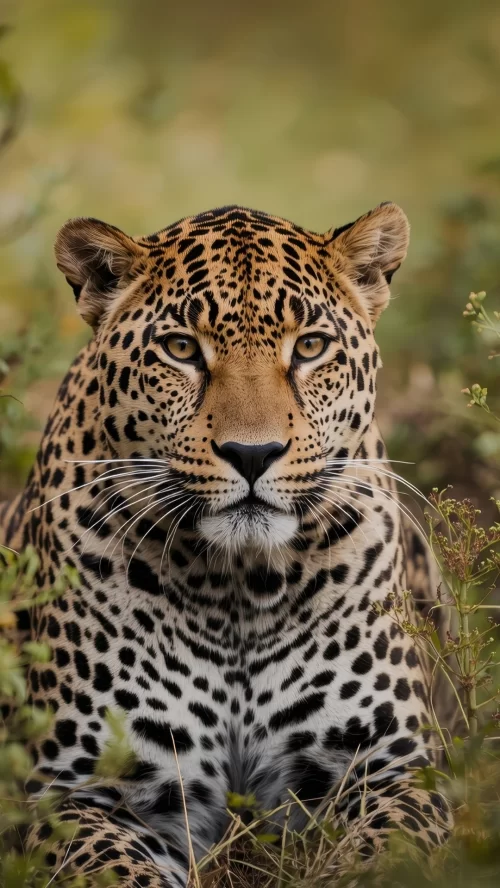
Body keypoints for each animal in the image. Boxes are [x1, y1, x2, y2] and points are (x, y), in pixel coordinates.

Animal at [0, 202, 454, 886]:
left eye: (310, 346)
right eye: (181, 348)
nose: (253, 453)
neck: (240, 584)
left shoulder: (396, 767)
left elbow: (387, 852)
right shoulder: (75, 794)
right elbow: (116, 868)